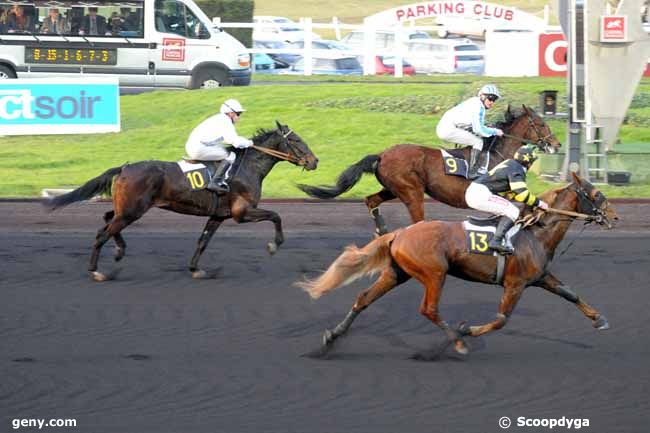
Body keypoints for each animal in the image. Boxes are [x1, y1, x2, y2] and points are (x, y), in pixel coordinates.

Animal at [44, 121, 318, 282]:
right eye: (296, 141)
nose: (314, 161)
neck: (248, 167)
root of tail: (124, 168)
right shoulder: (241, 212)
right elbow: (276, 215)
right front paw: (274, 245)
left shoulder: (218, 215)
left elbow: (203, 241)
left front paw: (195, 269)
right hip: (133, 210)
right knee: (103, 233)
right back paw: (96, 270)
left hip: (127, 208)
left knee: (107, 222)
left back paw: (120, 250)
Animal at [296, 173, 616, 358]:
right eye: (597, 195)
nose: (614, 217)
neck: (534, 234)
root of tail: (400, 232)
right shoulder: (515, 284)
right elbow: (500, 320)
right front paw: (465, 331)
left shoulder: (539, 277)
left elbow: (570, 293)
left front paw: (599, 319)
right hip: (434, 274)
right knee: (428, 309)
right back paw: (457, 342)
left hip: (397, 273)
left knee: (363, 299)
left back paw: (331, 338)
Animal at [298, 104, 556, 233]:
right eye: (542, 124)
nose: (557, 144)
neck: (497, 154)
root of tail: (382, 154)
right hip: (412, 192)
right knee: (416, 220)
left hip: (392, 189)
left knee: (371, 200)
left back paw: (382, 231)